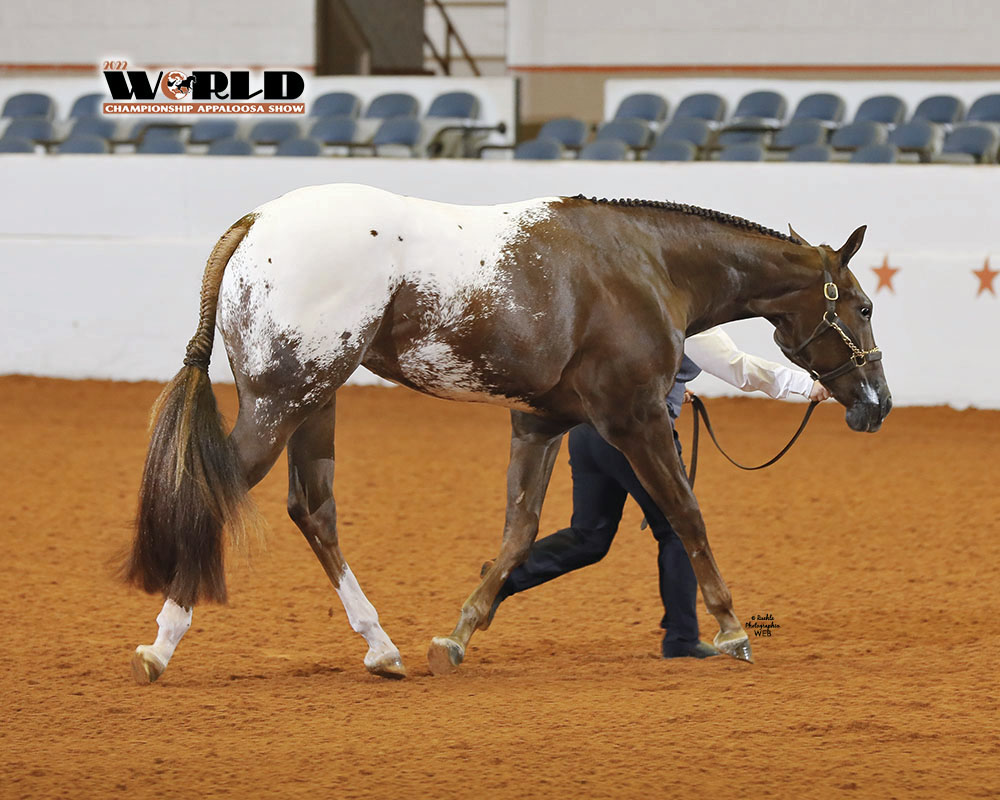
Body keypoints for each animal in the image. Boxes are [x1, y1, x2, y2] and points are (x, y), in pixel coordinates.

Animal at [124, 183, 890, 683]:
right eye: (863, 304)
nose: (876, 402)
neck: (647, 265)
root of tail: (257, 221)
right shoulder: (634, 416)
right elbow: (686, 513)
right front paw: (730, 630)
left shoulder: (541, 421)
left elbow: (519, 532)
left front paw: (458, 635)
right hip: (281, 401)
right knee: (220, 490)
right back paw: (161, 646)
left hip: (315, 400)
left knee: (313, 510)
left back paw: (382, 647)